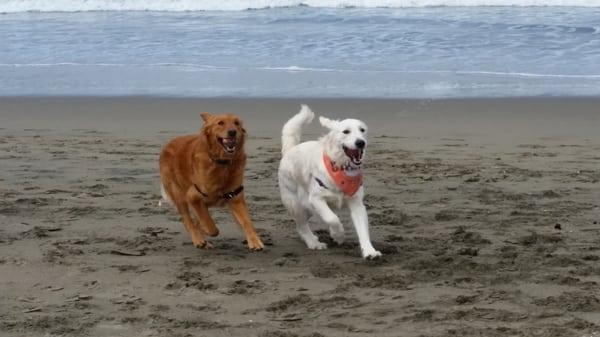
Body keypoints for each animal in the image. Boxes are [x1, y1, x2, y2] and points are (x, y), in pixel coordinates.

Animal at [159, 112, 262, 249]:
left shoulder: (235, 197)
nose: (232, 132)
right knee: (188, 222)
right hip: (179, 195)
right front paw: (207, 229)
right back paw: (198, 240)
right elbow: (211, 226)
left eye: (236, 123)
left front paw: (255, 241)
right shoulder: (192, 196)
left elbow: (247, 222)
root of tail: (168, 144)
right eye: (220, 123)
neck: (222, 163)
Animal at [278, 104, 382, 258]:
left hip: (307, 207)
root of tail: (290, 149)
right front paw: (338, 235)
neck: (340, 167)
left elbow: (362, 230)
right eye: (346, 131)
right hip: (296, 203)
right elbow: (332, 218)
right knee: (301, 225)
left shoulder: (357, 204)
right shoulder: (316, 199)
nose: (360, 142)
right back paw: (314, 243)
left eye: (362, 130)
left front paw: (370, 251)